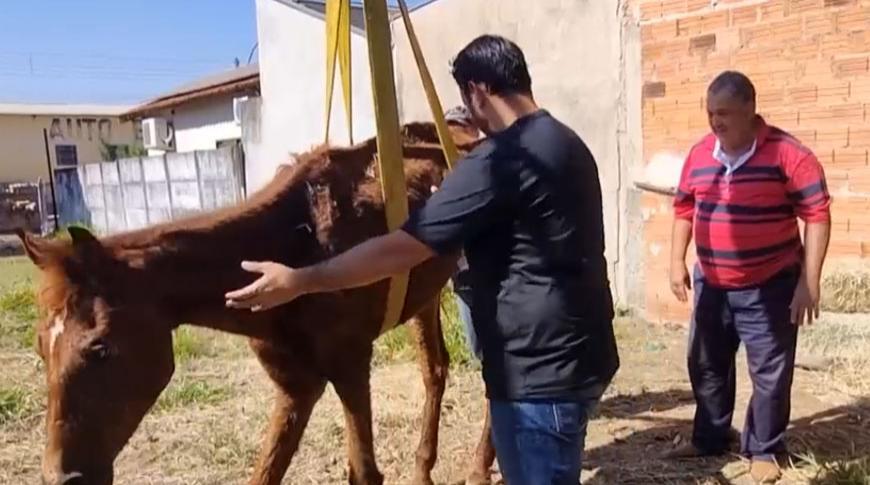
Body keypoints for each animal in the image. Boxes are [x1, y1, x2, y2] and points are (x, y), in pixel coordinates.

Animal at [18, 122, 498, 485]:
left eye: (100, 348)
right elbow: (266, 472)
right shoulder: (297, 384)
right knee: (435, 369)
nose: (63, 478)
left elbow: (364, 473)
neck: (295, 242)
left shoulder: (350, 364)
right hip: (424, 296)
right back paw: (424, 469)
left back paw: (478, 469)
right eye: (41, 347)